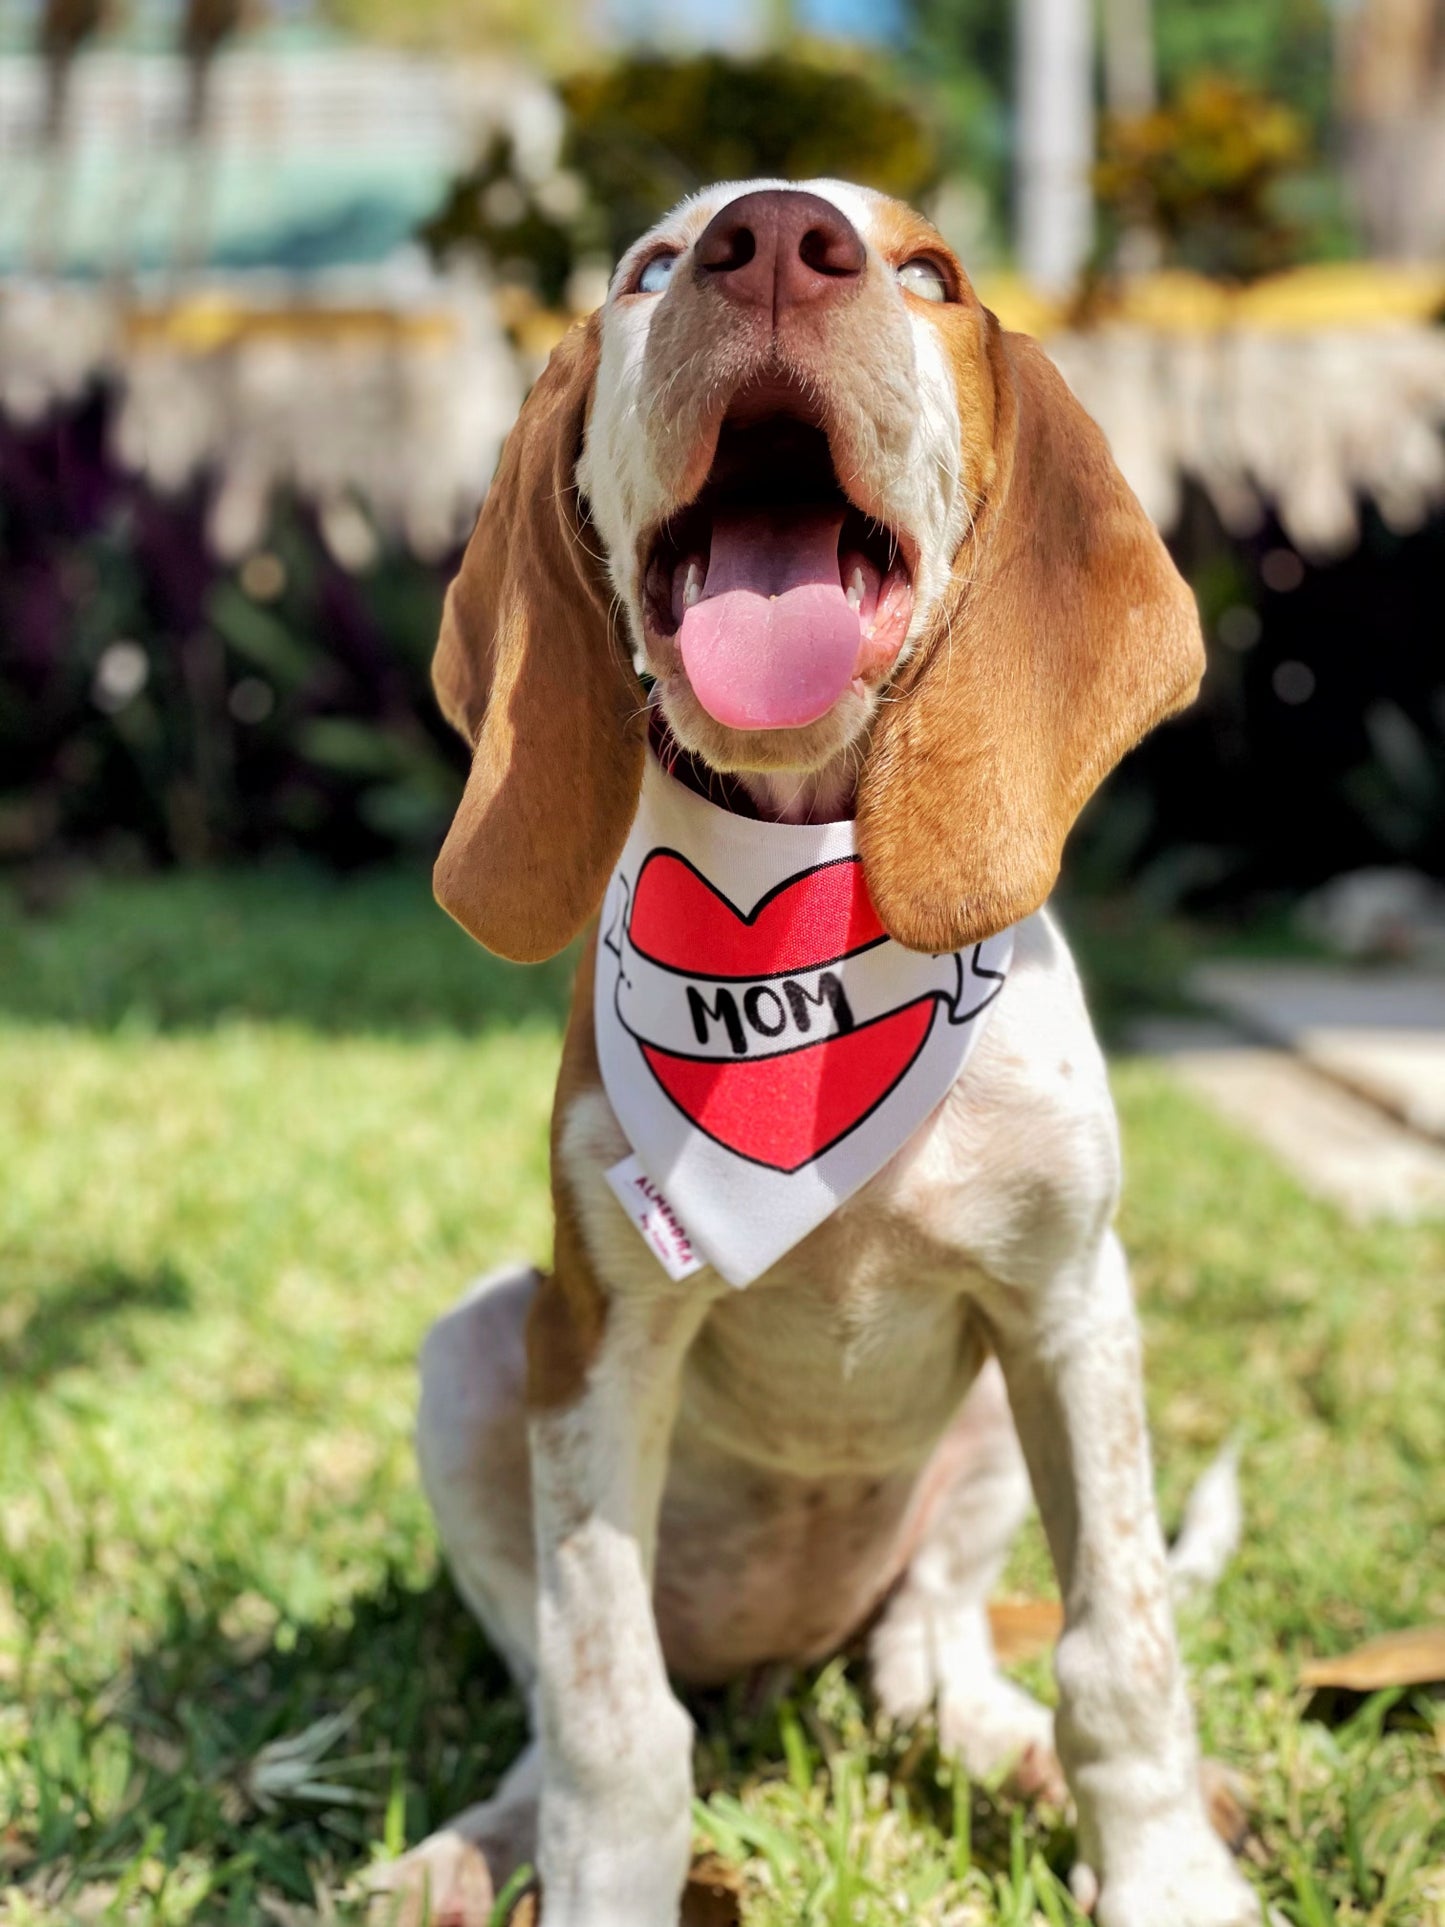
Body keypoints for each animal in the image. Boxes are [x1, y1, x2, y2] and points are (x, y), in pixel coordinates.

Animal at [369, 184, 1256, 1927]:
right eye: (649, 268)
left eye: (930, 273)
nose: (773, 235)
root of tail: (781, 1654)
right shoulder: (600, 1346)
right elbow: (610, 1718)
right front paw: (596, 1875)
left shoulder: (1071, 1307)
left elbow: (1120, 1646)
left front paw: (1168, 1874)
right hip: (479, 1348)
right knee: (556, 1696)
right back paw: (480, 1840)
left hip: (990, 1429)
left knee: (930, 1650)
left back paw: (992, 1736)